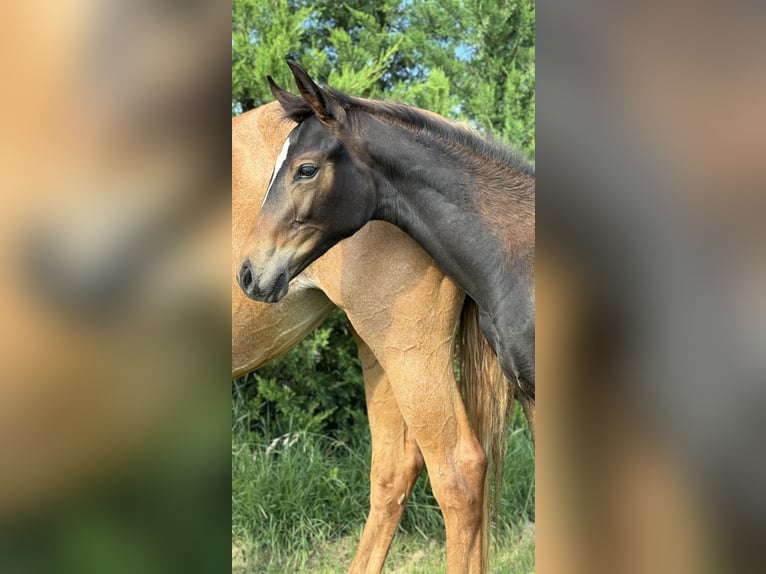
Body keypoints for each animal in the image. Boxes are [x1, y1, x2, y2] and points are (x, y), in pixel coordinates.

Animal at [232, 101, 520, 572]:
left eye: (306, 170)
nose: (249, 274)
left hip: (410, 353)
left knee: (458, 471)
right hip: (378, 345)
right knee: (394, 468)